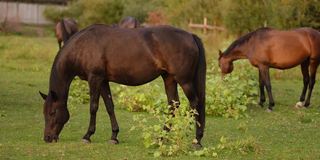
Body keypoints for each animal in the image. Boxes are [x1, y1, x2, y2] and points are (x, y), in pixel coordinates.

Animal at [38, 24, 206, 148]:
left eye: (52, 112)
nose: (47, 137)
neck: (83, 46)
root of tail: (190, 36)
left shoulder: (95, 78)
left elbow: (93, 107)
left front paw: (87, 135)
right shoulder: (103, 81)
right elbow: (109, 106)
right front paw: (114, 136)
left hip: (184, 81)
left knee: (194, 104)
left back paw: (196, 140)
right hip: (169, 79)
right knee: (173, 106)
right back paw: (161, 138)